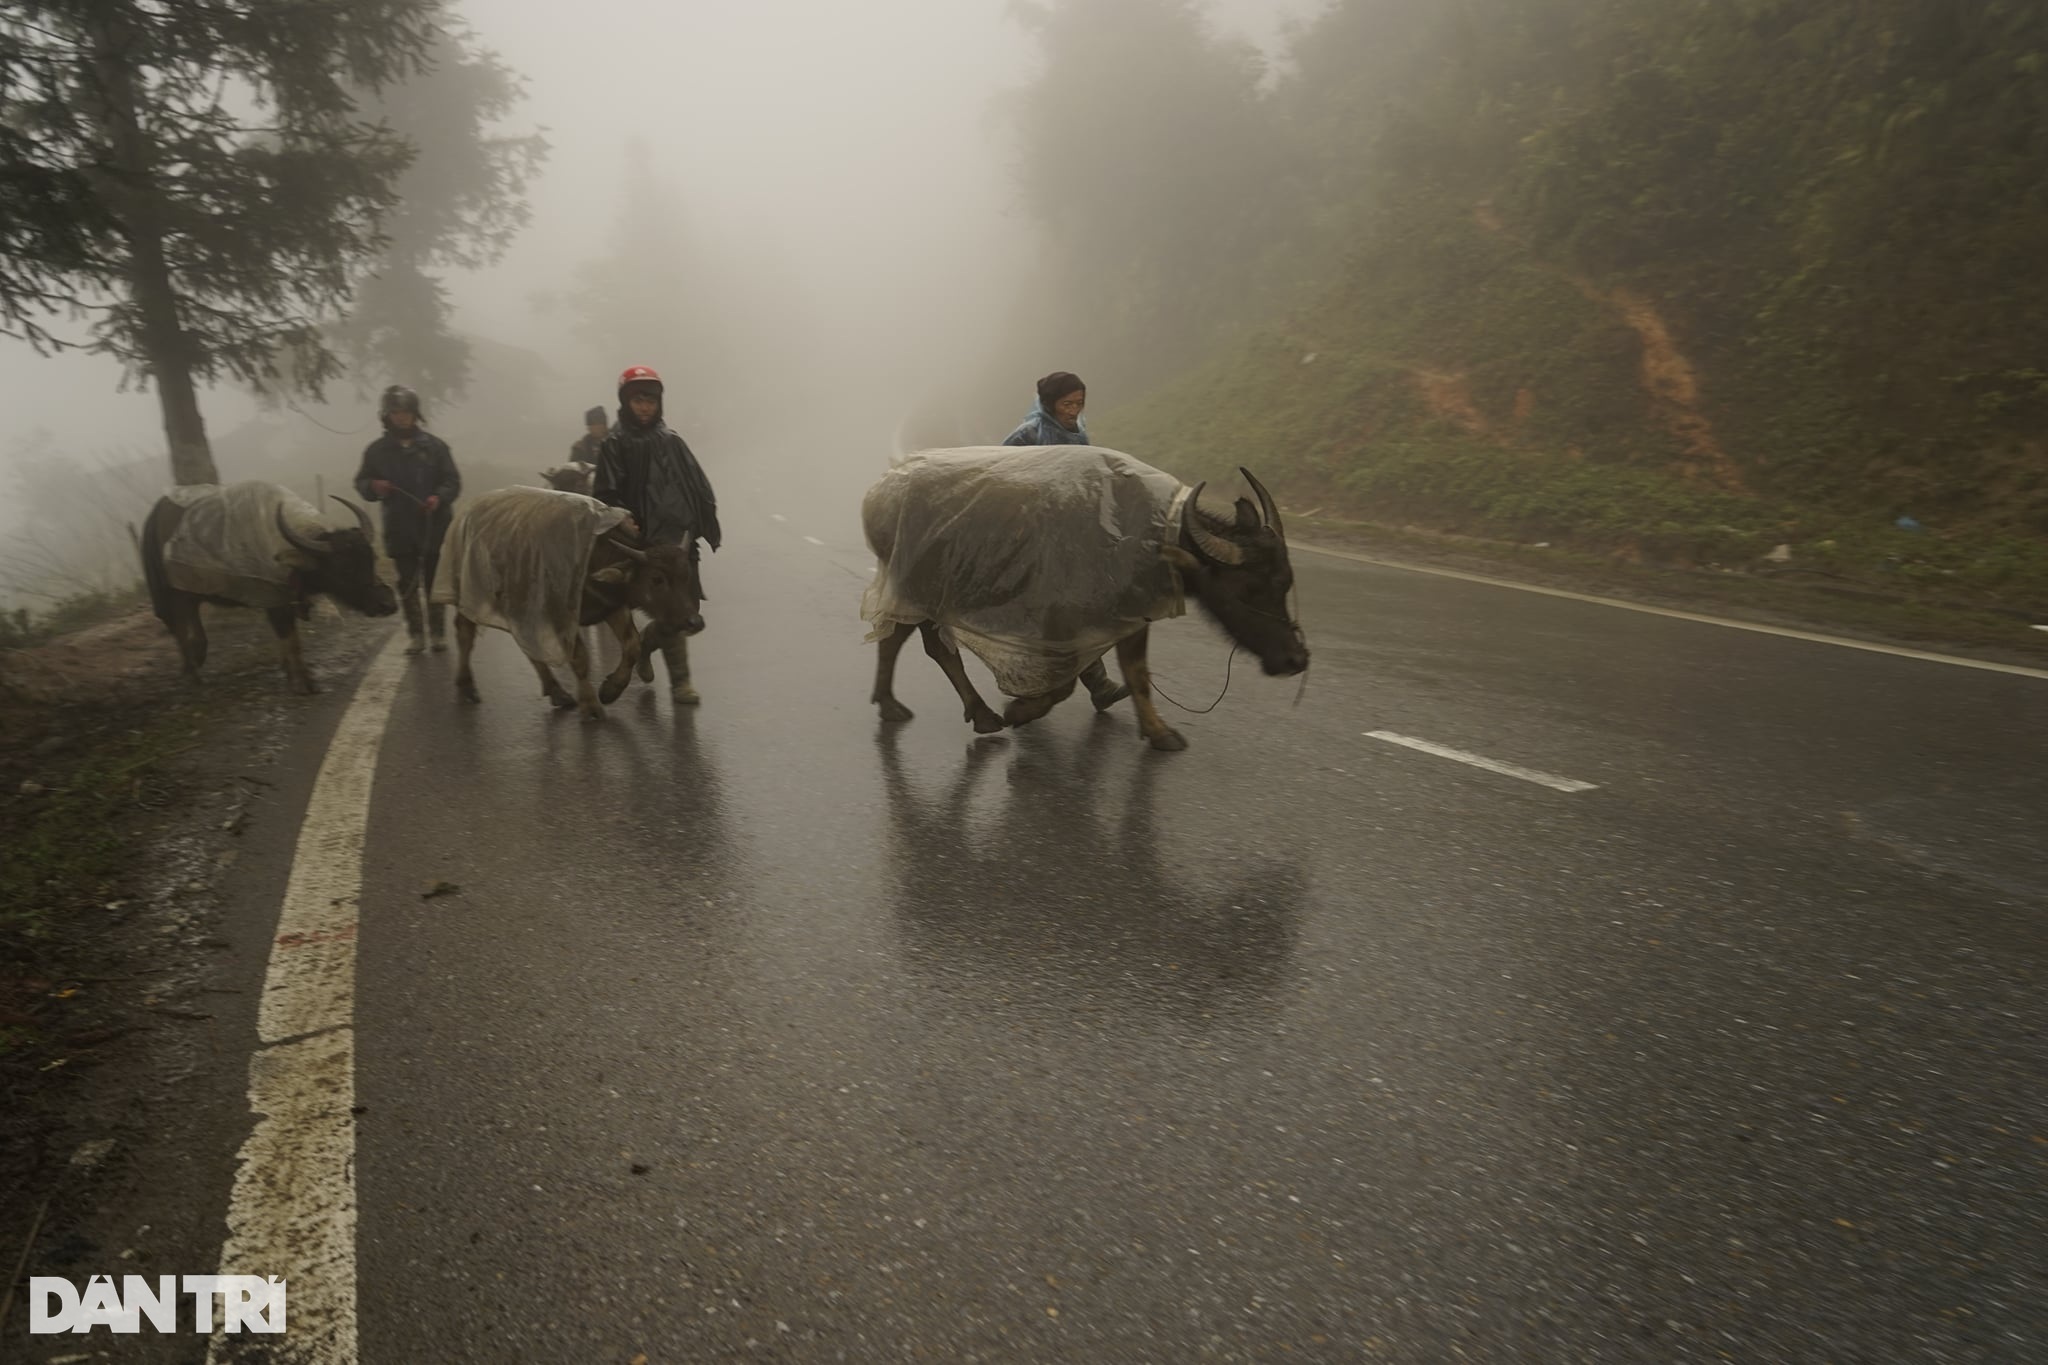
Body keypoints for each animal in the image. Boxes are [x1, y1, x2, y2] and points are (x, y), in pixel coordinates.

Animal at [138, 482, 397, 695]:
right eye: (344, 567)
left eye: (372, 558)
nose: (387, 603)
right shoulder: (275, 601)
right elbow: (292, 640)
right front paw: (303, 683)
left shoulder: (283, 600)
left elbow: (288, 639)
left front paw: (290, 672)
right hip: (174, 594)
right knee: (182, 631)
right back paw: (194, 676)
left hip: (192, 593)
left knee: (190, 629)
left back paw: (193, 665)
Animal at [436, 485, 708, 720]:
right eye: (657, 579)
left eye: (687, 575)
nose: (695, 621)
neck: (592, 560)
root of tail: (466, 512)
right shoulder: (561, 616)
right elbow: (580, 658)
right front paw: (591, 705)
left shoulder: (612, 607)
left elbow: (632, 645)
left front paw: (610, 690)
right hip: (472, 593)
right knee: (465, 632)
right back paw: (466, 686)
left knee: (528, 647)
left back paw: (557, 692)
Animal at [864, 450, 1310, 753]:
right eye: (1250, 588)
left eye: (1286, 582)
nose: (1296, 659)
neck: (1150, 537)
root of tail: (880, 490)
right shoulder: (1059, 620)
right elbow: (1063, 685)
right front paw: (1020, 711)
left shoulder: (1132, 615)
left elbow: (1137, 674)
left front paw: (1159, 732)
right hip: (917, 588)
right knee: (920, 645)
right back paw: (961, 712)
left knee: (910, 641)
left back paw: (915, 706)